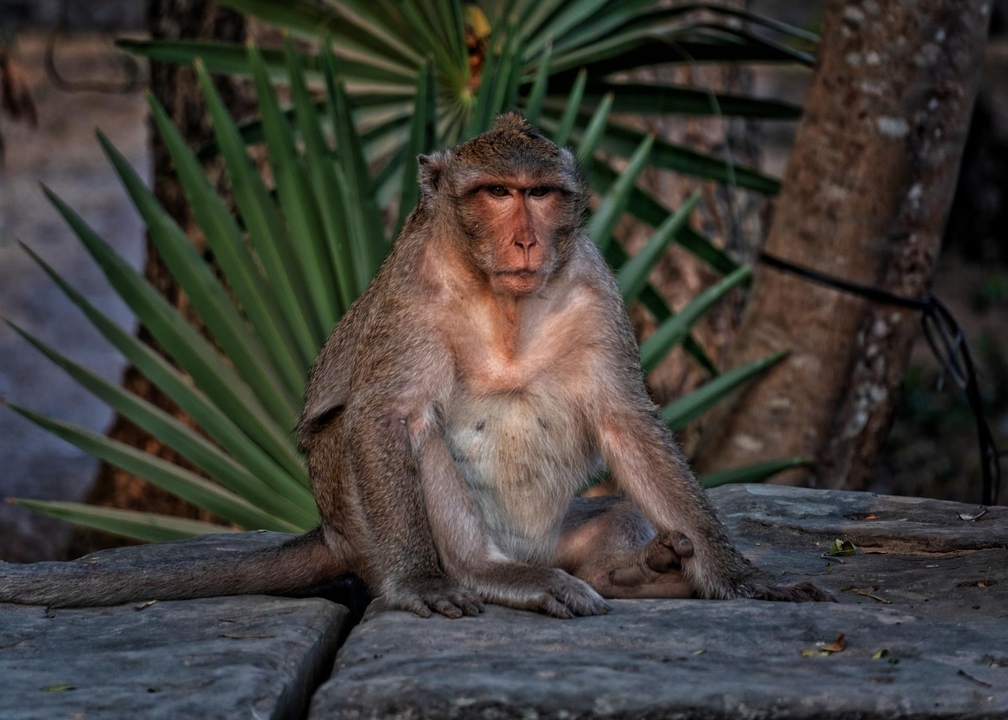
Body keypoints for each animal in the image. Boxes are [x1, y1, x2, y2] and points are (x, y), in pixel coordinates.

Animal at [0, 113, 831, 617]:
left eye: (541, 195)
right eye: (496, 193)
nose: (527, 240)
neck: (501, 301)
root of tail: (332, 531)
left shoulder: (597, 288)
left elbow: (628, 423)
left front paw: (741, 576)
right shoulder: (414, 296)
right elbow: (384, 415)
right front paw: (421, 583)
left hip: (556, 532)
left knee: (619, 509)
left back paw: (633, 571)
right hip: (364, 518)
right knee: (411, 435)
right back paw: (487, 576)